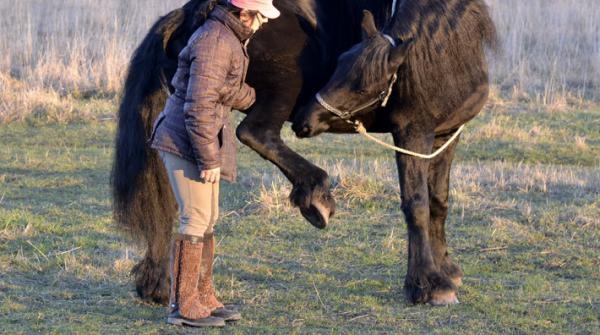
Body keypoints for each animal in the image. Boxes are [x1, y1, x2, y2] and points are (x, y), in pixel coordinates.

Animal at [112, 0, 496, 306]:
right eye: (340, 63)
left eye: (362, 85)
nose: (306, 117)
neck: (446, 53)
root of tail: (193, 13)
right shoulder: (412, 133)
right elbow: (416, 204)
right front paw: (427, 284)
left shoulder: (445, 136)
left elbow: (439, 202)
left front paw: (446, 269)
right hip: (277, 88)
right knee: (254, 133)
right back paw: (315, 195)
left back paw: (159, 285)